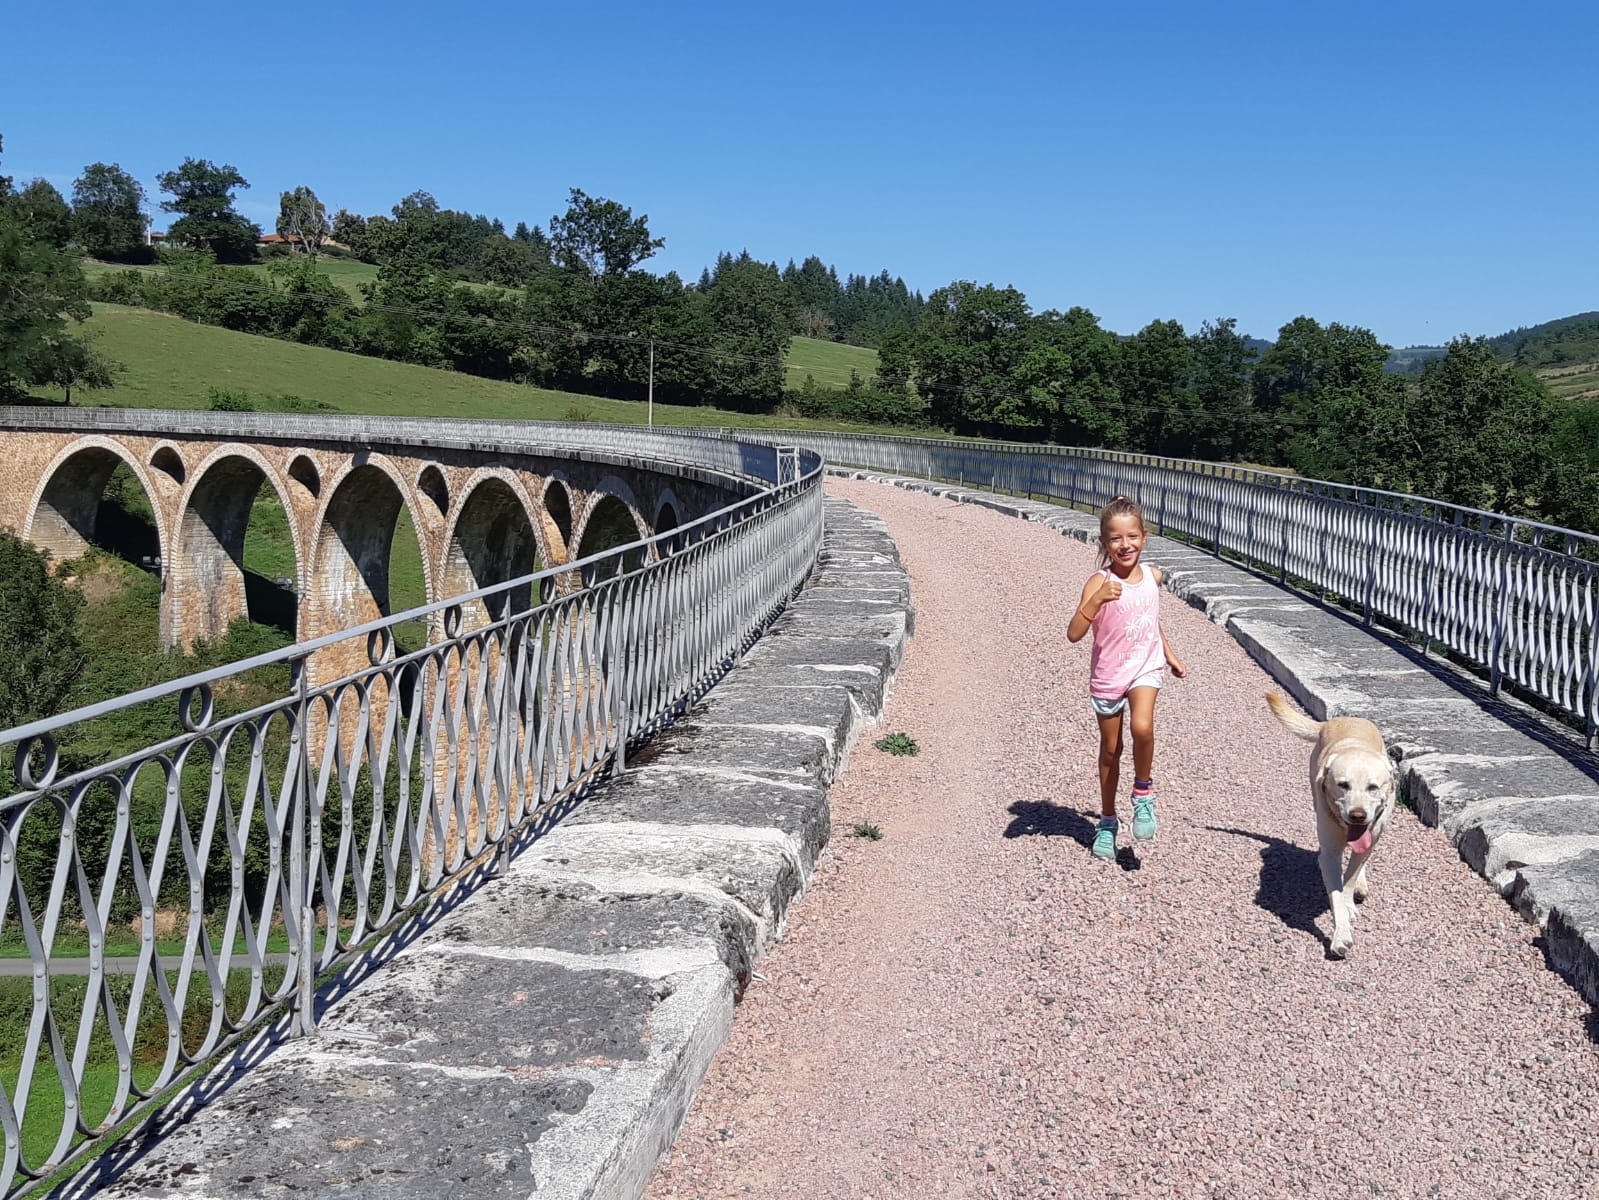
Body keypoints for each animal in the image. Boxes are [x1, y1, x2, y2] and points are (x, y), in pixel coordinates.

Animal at [1266, 694, 1394, 960]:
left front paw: (1350, 900)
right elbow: (1335, 894)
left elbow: (1350, 877)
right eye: (1343, 784)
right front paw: (1341, 935)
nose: (1358, 815)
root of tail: (1339, 719)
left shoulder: (1370, 836)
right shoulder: (1330, 854)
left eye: (1373, 787)